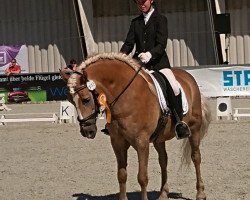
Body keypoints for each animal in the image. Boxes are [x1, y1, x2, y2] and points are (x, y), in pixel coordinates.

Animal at [60, 52, 211, 200]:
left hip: (194, 129)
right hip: (159, 138)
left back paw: (200, 193)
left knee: (196, 157)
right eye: (70, 101)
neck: (125, 97)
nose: (87, 131)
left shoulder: (141, 142)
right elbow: (121, 175)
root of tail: (188, 76)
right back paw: (163, 194)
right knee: (163, 160)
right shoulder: (118, 142)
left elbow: (142, 178)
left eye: (86, 100)